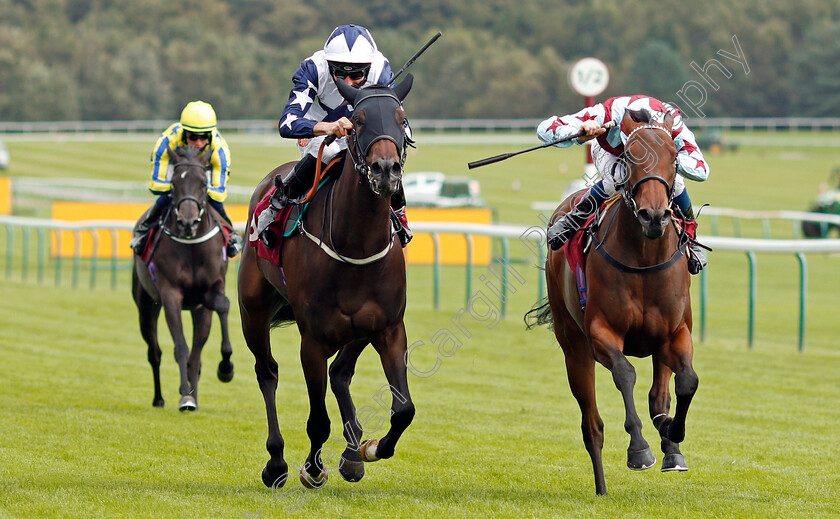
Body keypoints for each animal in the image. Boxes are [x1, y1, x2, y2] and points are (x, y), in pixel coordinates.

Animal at [133, 147, 235, 414]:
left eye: (202, 183)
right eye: (175, 184)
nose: (187, 223)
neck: (191, 245)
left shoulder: (209, 294)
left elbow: (223, 307)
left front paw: (226, 368)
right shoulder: (170, 294)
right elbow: (180, 347)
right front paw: (184, 397)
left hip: (198, 309)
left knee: (195, 356)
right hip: (145, 304)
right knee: (154, 352)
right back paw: (160, 398)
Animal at [238, 75, 416, 490]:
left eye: (401, 119)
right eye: (358, 120)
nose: (386, 169)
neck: (354, 244)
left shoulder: (388, 327)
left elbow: (403, 409)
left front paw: (368, 449)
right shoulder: (313, 339)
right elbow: (317, 420)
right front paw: (312, 468)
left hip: (359, 329)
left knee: (340, 374)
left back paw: (352, 454)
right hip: (252, 309)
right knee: (267, 372)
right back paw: (276, 462)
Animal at [528, 110, 700, 496]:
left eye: (674, 157)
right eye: (632, 156)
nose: (654, 216)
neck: (644, 257)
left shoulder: (675, 333)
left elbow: (687, 382)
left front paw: (673, 435)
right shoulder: (600, 334)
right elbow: (625, 373)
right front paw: (639, 450)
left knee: (658, 396)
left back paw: (669, 443)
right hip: (573, 347)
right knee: (592, 425)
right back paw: (602, 487)